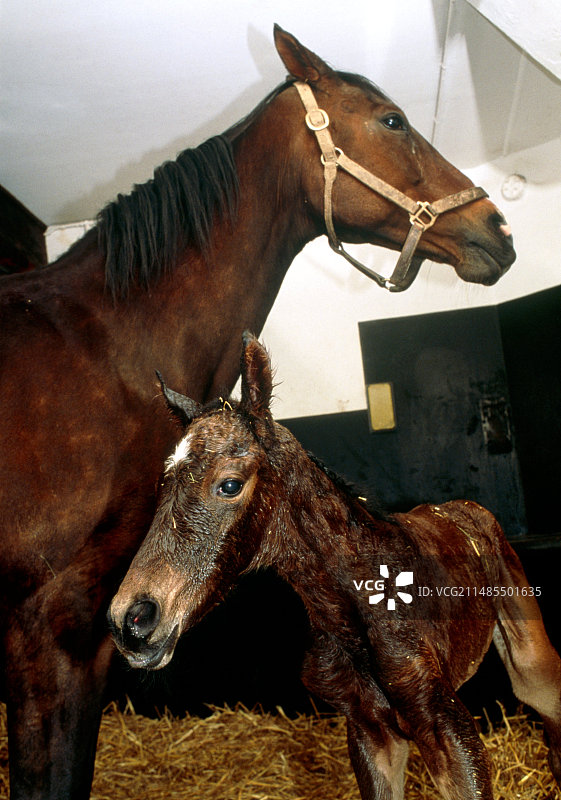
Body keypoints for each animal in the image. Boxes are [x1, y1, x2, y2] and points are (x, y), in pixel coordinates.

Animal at [109, 333, 561, 800]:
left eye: (230, 484)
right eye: (160, 487)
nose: (131, 619)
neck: (358, 611)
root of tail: (464, 507)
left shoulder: (447, 726)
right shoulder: (370, 732)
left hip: (529, 655)